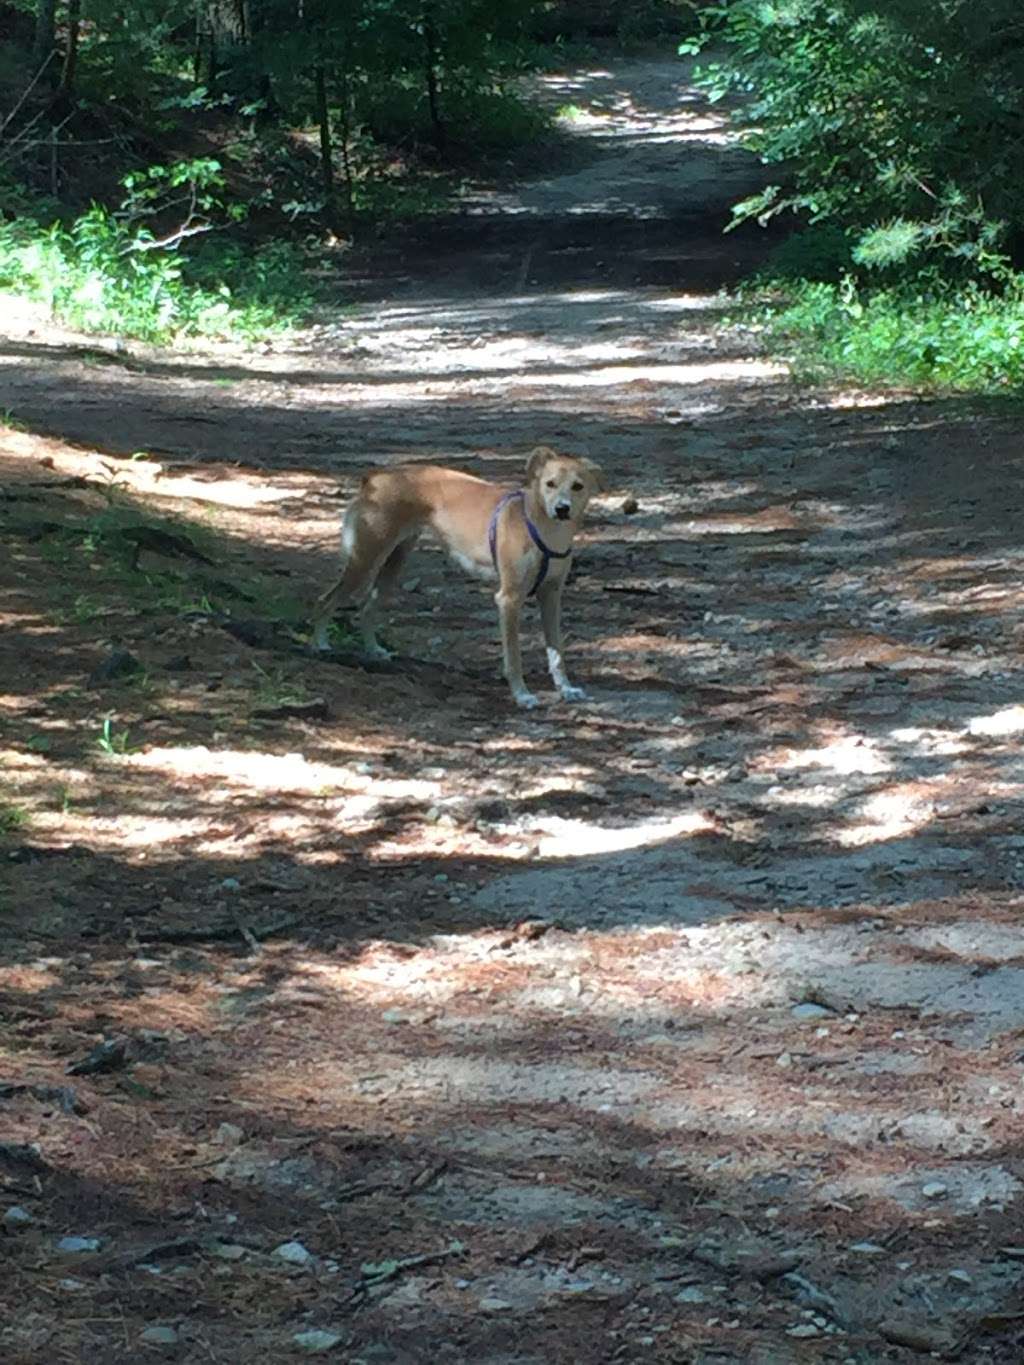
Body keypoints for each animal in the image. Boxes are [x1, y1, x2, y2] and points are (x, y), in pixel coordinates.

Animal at [308, 447, 606, 709]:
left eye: (578, 486)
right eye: (550, 484)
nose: (562, 508)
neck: (544, 528)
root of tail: (376, 477)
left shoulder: (551, 597)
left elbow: (557, 653)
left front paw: (565, 689)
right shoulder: (509, 600)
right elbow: (514, 658)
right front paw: (521, 695)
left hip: (393, 564)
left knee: (367, 608)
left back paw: (373, 650)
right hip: (365, 560)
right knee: (324, 601)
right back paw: (320, 645)